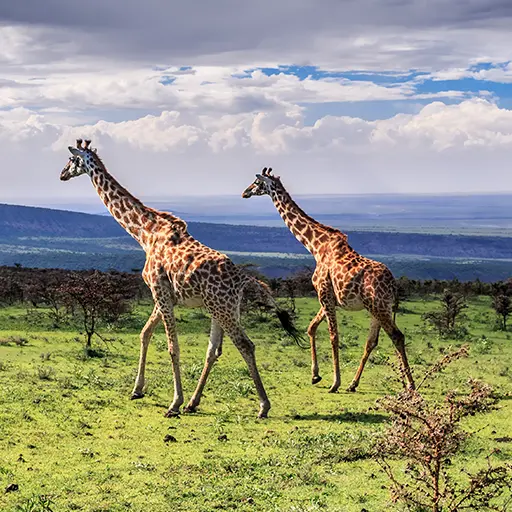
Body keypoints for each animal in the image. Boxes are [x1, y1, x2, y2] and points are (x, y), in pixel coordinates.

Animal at [60, 139, 302, 416]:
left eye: (72, 160)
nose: (62, 174)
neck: (144, 234)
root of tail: (243, 279)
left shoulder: (159, 291)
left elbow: (172, 346)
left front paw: (173, 403)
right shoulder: (164, 295)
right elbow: (145, 334)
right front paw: (138, 390)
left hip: (224, 309)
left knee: (245, 345)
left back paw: (262, 406)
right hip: (221, 309)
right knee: (214, 350)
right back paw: (193, 403)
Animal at [242, 168, 414, 392]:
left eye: (256, 182)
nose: (244, 192)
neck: (315, 246)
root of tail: (393, 285)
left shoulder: (323, 293)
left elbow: (333, 336)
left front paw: (334, 382)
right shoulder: (329, 298)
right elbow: (311, 328)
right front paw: (315, 375)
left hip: (378, 307)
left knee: (397, 336)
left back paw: (410, 384)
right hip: (376, 308)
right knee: (372, 341)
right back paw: (353, 384)